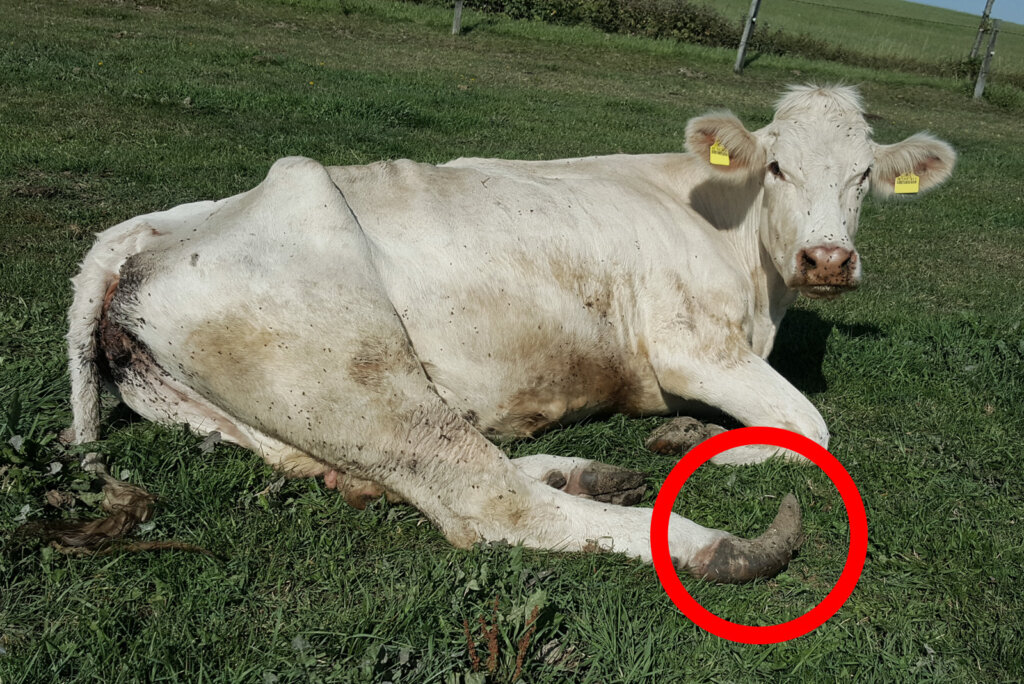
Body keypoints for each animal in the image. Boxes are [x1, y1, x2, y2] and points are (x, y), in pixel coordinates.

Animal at [65, 85, 954, 583]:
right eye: (776, 167)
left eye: (865, 174)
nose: (828, 258)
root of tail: (163, 230)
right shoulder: (688, 344)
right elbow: (810, 427)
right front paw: (697, 443)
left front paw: (682, 436)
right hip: (349, 366)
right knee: (485, 498)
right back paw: (713, 543)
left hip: (256, 414)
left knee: (376, 475)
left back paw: (585, 472)